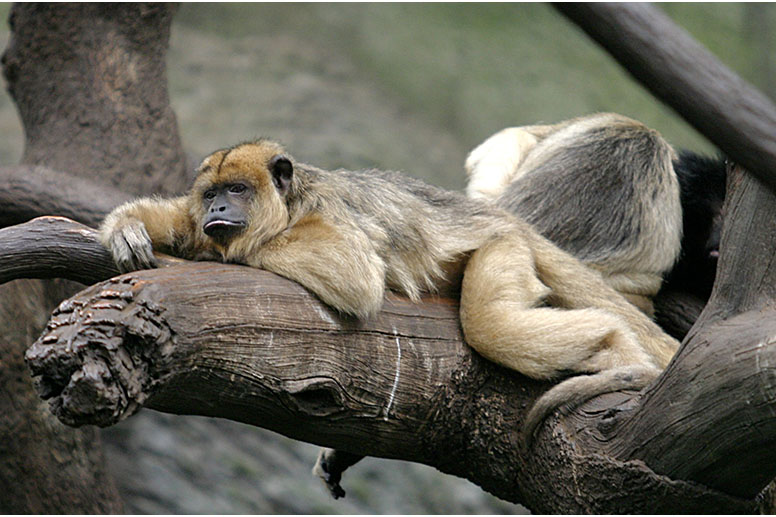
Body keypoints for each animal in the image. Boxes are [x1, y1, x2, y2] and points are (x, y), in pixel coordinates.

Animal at [100, 129, 684, 496]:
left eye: (238, 190)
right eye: (213, 194)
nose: (220, 209)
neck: (290, 202)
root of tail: (502, 218)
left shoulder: (325, 212)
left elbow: (354, 274)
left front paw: (231, 252)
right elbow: (178, 222)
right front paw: (128, 227)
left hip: (505, 249)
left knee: (493, 328)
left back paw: (619, 354)